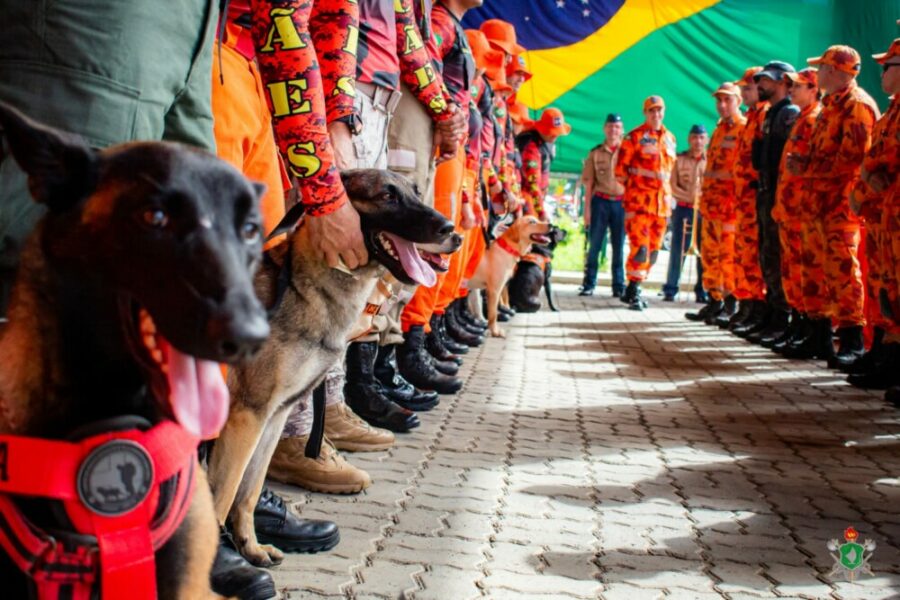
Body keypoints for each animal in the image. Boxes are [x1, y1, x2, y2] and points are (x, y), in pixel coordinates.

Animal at [207, 169, 462, 567]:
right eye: (387, 196)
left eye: (416, 193)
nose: (453, 231)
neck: (300, 286)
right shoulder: (245, 415)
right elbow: (223, 495)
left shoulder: (273, 416)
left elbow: (248, 489)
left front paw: (250, 547)